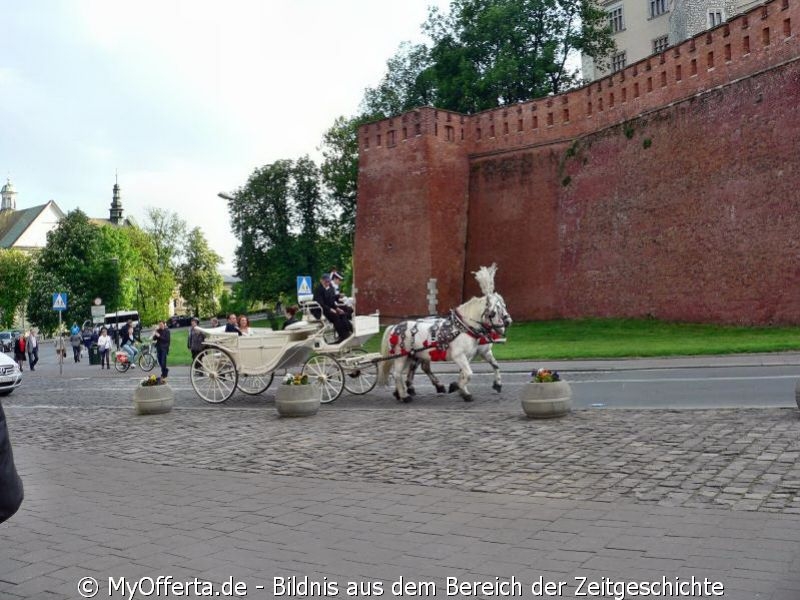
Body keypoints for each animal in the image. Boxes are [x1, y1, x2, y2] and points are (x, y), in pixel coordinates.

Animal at [376, 266, 512, 404]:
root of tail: (395, 326)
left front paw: (461, 389)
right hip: (401, 356)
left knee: (408, 371)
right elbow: (469, 373)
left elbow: (472, 371)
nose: (507, 322)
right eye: (494, 311)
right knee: (398, 374)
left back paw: (402, 392)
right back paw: (405, 396)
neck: (464, 327)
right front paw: (463, 391)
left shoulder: (471, 355)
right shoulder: (459, 355)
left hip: (411, 355)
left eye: (504, 306)